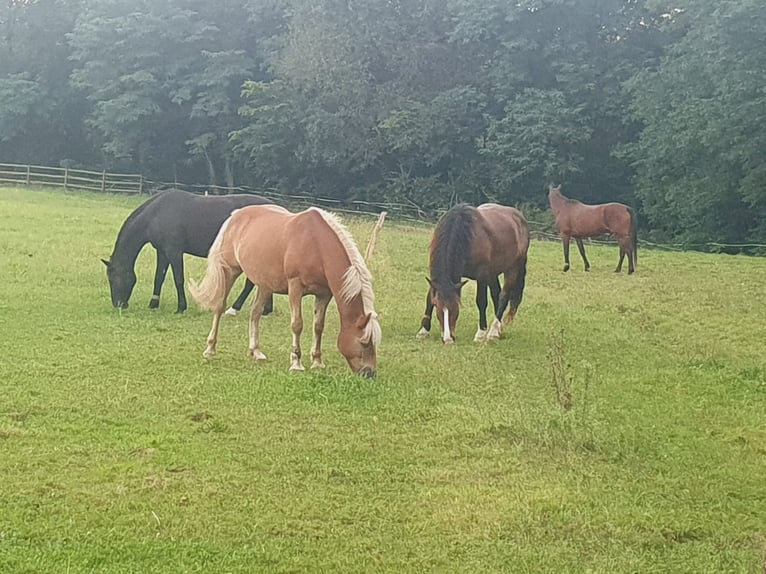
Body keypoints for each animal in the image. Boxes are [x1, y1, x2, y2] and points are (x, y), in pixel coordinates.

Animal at [102, 190, 276, 316]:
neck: (157, 214)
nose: (118, 304)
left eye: (113, 278)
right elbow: (159, 278)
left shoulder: (174, 251)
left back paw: (235, 309)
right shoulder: (162, 252)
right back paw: (266, 310)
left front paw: (181, 307)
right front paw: (153, 303)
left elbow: (178, 279)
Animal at [190, 206, 382, 378]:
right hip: (229, 270)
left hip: (264, 284)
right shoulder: (295, 287)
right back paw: (210, 349)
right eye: (364, 343)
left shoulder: (324, 294)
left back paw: (256, 352)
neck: (315, 244)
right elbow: (297, 324)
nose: (369, 373)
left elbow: (318, 326)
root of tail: (235, 216)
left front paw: (317, 362)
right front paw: (296, 363)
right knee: (219, 307)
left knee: (255, 312)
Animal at [414, 205, 536, 344]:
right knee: (496, 294)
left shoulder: (482, 276)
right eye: (438, 309)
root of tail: (519, 218)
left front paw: (480, 334)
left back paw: (493, 331)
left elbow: (481, 302)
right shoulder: (436, 281)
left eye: (456, 308)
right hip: (493, 273)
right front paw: (423, 330)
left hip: (512, 269)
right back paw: (498, 328)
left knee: (503, 296)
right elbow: (429, 298)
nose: (448, 339)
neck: (463, 232)